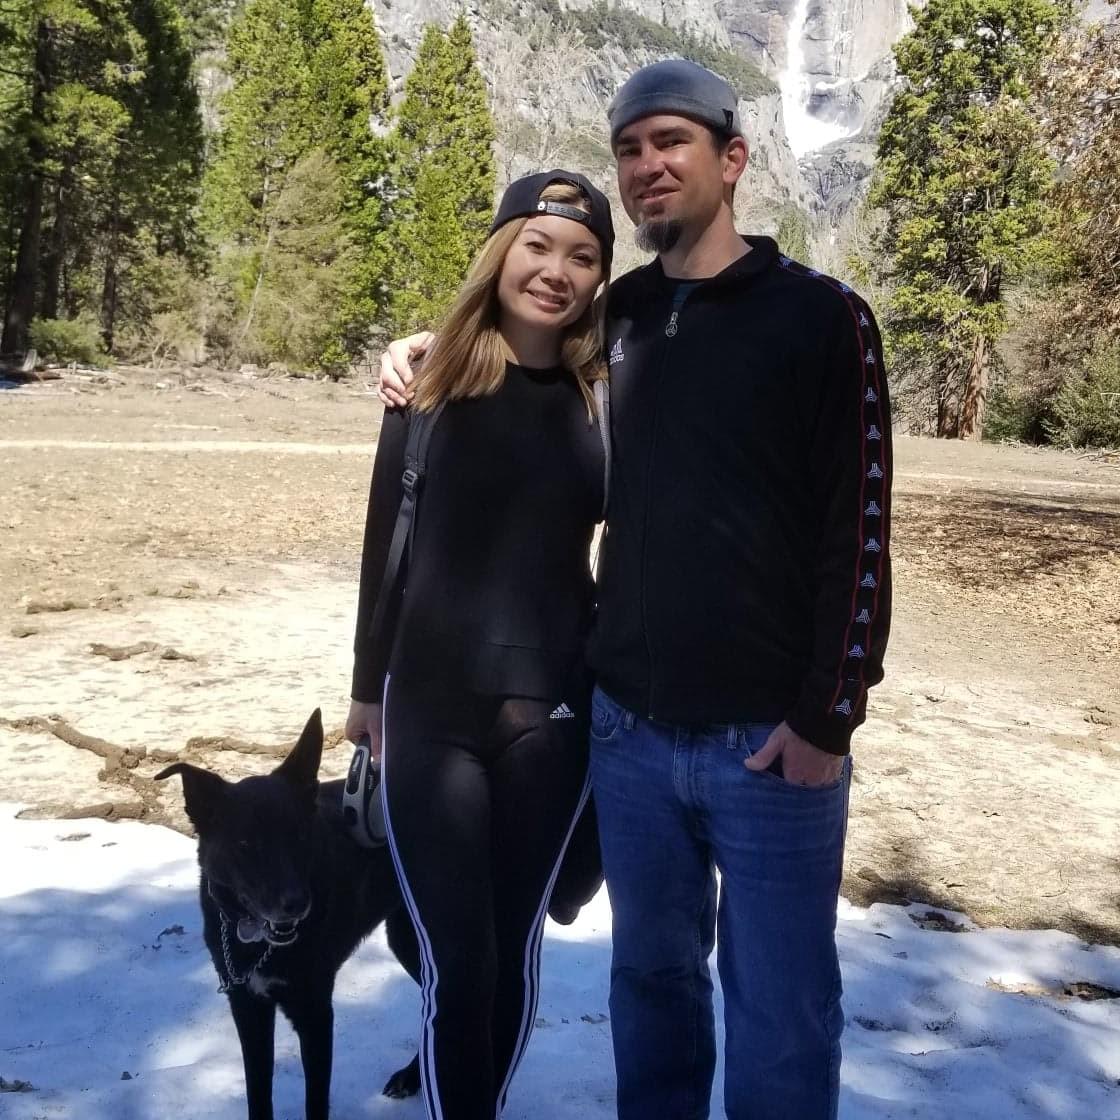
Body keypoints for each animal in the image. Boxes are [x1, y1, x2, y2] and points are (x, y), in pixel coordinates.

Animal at [157, 712, 604, 1115]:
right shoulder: (247, 1008)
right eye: (246, 844)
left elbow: (315, 1101)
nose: (296, 904)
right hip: (411, 937)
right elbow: (257, 1095)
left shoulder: (315, 1012)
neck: (258, 944)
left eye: (299, 835)